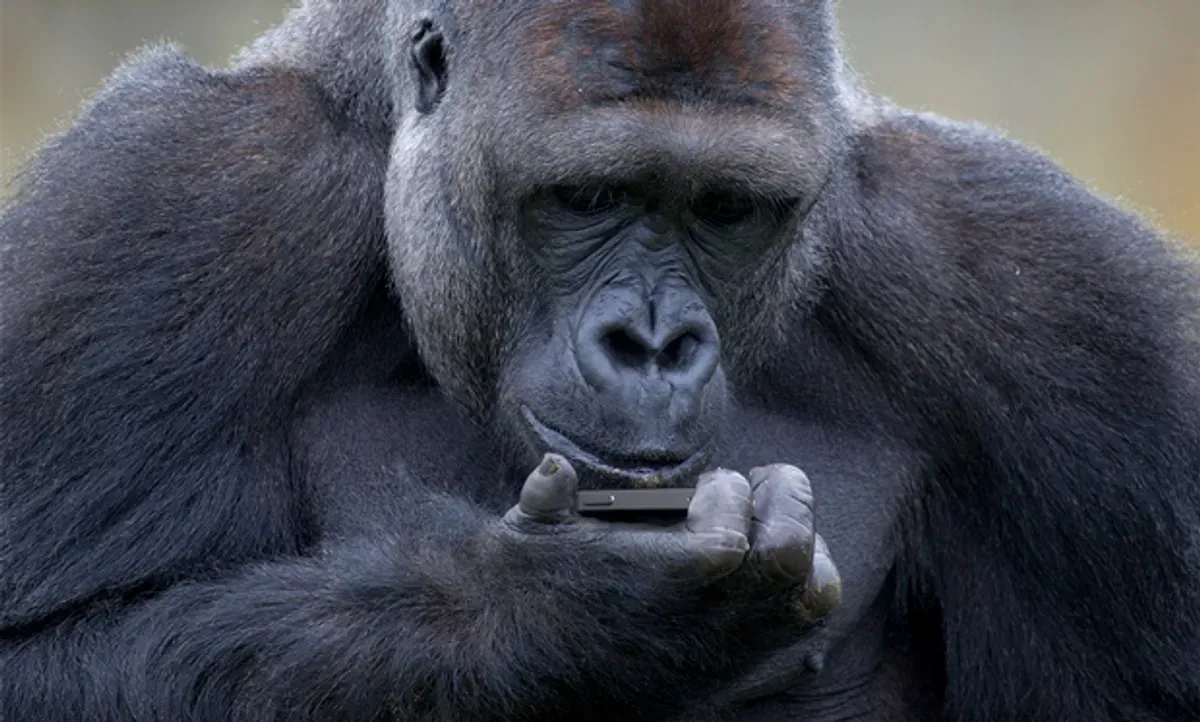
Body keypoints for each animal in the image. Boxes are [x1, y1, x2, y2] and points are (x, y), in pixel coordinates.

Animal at [2, 0, 1200, 714]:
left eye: (728, 209)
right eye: (585, 197)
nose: (654, 344)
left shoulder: (1056, 300)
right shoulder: (178, 197)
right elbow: (39, 658)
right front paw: (577, 618)